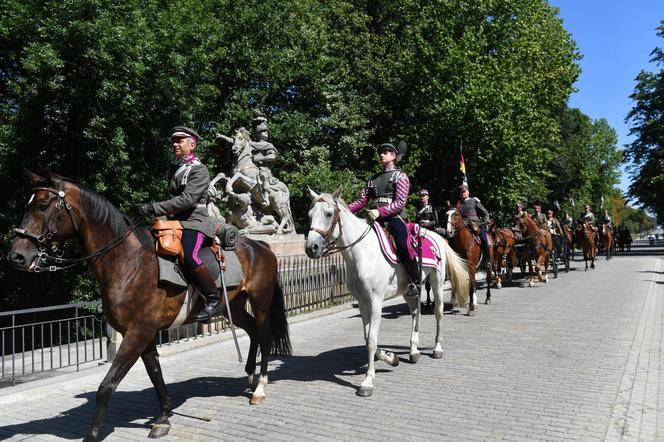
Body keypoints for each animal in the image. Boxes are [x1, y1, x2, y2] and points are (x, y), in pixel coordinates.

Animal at [5, 171, 290, 440]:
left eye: (43, 205)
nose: (16, 256)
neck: (127, 262)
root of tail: (259, 245)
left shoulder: (137, 333)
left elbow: (107, 385)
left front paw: (93, 434)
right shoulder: (145, 334)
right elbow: (156, 375)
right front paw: (164, 417)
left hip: (260, 302)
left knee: (264, 335)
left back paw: (260, 387)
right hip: (237, 307)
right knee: (252, 331)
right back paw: (250, 376)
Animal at [304, 190, 470, 398]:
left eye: (328, 214)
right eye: (310, 215)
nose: (311, 248)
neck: (363, 252)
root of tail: (437, 237)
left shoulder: (376, 302)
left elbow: (372, 341)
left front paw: (367, 382)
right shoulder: (363, 302)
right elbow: (368, 338)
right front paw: (391, 358)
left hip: (437, 282)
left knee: (438, 313)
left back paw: (437, 349)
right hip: (409, 291)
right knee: (415, 314)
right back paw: (413, 351)